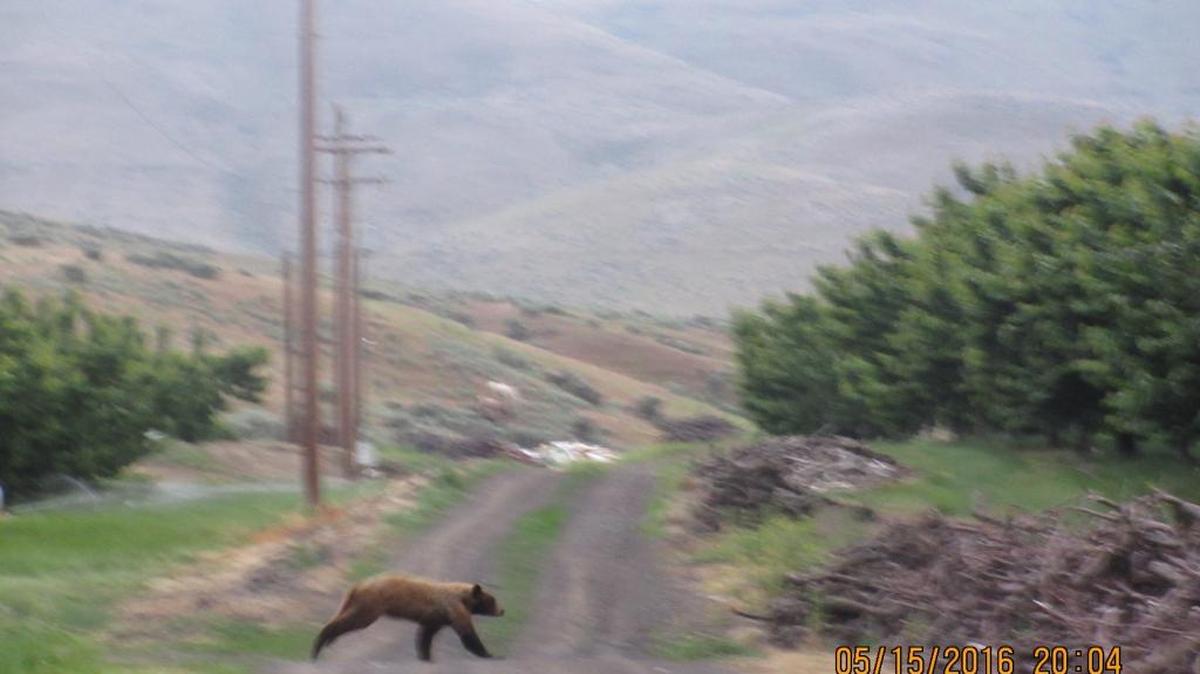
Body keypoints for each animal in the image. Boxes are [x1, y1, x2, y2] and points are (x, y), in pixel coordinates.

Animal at [311, 574, 505, 662]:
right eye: (493, 600)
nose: (502, 610)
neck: (464, 599)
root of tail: (358, 585)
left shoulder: (437, 617)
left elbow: (426, 635)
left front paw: (425, 656)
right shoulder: (453, 608)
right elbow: (467, 634)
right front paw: (489, 653)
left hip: (359, 602)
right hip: (371, 605)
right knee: (353, 621)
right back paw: (320, 643)